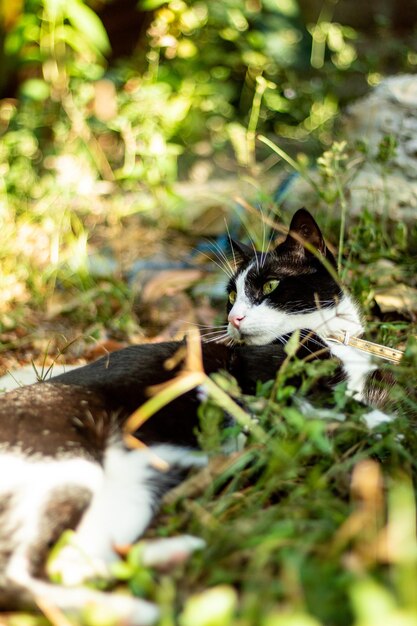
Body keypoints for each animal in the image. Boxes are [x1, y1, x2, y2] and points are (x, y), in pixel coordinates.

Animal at [0, 208, 390, 620]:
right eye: (232, 295)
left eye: (269, 286)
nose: (234, 318)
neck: (330, 339)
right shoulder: (261, 376)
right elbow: (337, 405)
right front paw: (386, 426)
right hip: (66, 462)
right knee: (19, 576)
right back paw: (139, 609)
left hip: (131, 491)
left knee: (71, 561)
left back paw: (168, 556)